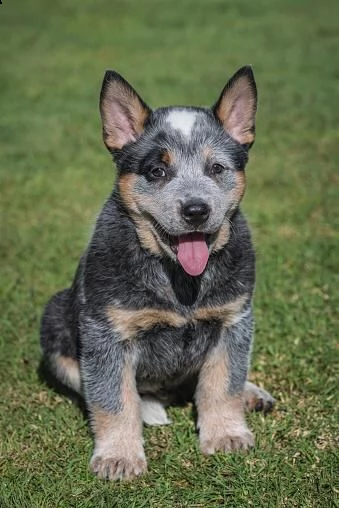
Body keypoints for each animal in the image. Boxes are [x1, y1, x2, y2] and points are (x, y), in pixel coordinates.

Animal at [40, 66, 276, 480]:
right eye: (157, 170)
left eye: (217, 168)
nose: (196, 210)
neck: (180, 280)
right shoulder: (105, 331)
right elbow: (115, 398)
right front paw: (118, 456)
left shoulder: (234, 319)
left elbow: (223, 383)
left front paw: (226, 433)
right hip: (54, 316)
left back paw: (252, 393)